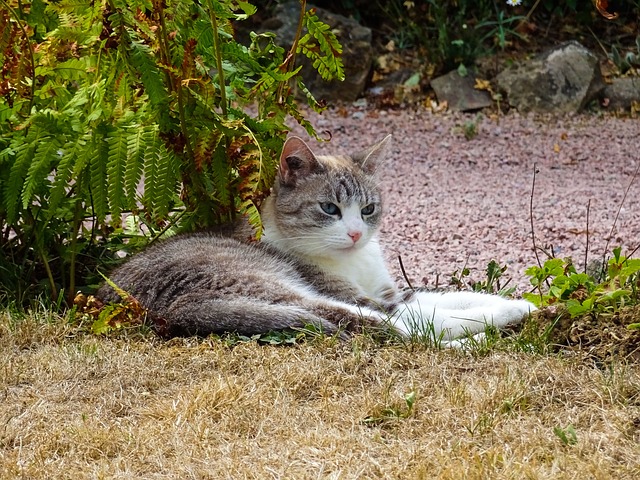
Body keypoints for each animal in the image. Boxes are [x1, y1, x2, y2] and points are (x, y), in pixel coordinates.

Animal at [96, 135, 536, 344]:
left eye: (369, 209)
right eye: (329, 208)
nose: (356, 232)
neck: (351, 260)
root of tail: (167, 313)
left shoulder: (390, 291)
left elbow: (450, 296)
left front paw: (516, 302)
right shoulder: (364, 297)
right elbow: (428, 314)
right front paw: (507, 312)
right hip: (268, 284)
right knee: (395, 329)